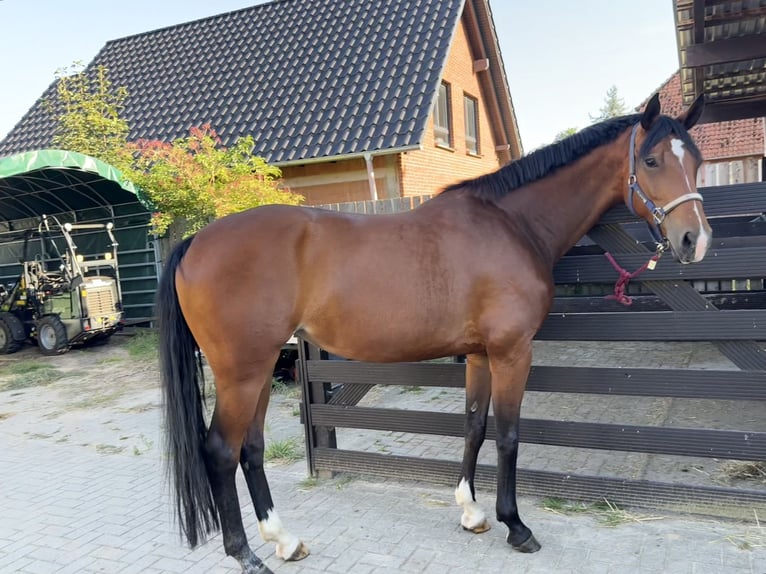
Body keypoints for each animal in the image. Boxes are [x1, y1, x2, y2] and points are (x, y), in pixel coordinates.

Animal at [157, 93, 710, 574]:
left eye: (699, 160)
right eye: (653, 160)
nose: (695, 240)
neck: (510, 223)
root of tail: (195, 241)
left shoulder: (481, 355)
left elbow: (475, 426)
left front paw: (472, 512)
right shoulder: (512, 352)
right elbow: (508, 435)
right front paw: (515, 525)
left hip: (264, 366)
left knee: (250, 449)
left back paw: (284, 541)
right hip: (242, 371)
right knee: (221, 451)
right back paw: (246, 555)